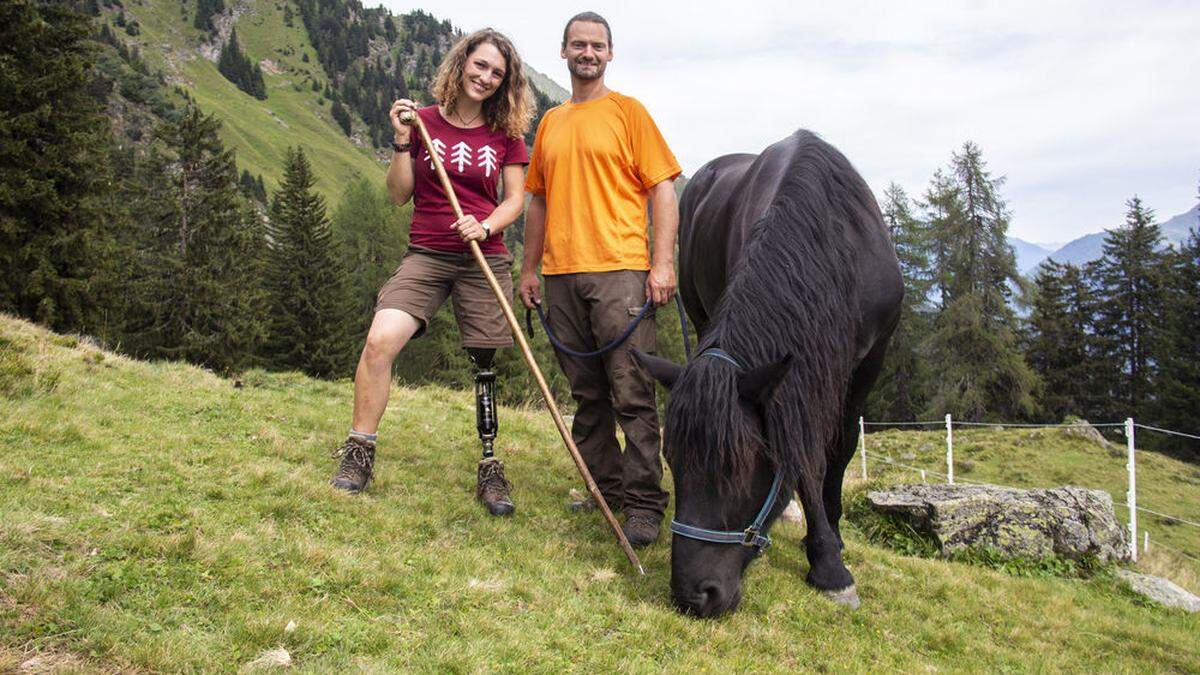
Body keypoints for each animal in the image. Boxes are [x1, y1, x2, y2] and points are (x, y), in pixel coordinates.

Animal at [638, 128, 902, 612]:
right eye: (672, 460)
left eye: (740, 466)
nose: (694, 595)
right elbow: (804, 457)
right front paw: (827, 561)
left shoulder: (871, 361)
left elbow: (838, 449)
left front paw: (832, 548)